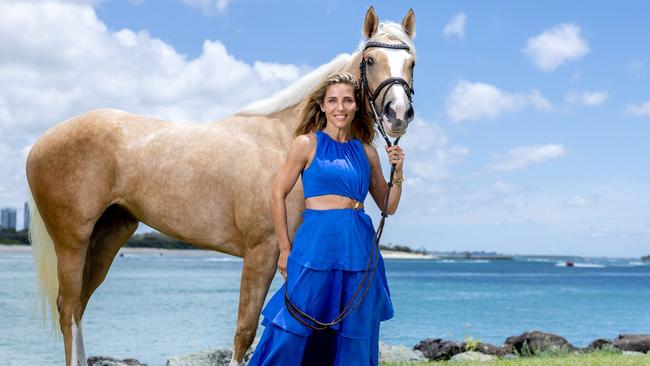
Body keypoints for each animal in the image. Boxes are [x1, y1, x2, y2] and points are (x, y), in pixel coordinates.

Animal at [26, 6, 416, 366]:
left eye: (411, 61)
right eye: (370, 60)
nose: (398, 114)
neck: (286, 140)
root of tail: (41, 143)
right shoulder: (262, 252)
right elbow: (245, 332)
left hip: (108, 235)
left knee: (79, 306)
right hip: (73, 241)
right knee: (69, 308)